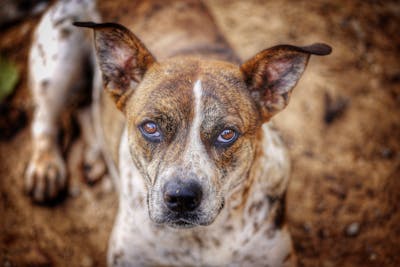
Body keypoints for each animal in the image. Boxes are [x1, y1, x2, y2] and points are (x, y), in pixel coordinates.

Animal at [25, 1, 332, 266]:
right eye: (151, 127)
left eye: (227, 134)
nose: (182, 198)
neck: (202, 240)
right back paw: (45, 168)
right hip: (58, 59)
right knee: (45, 117)